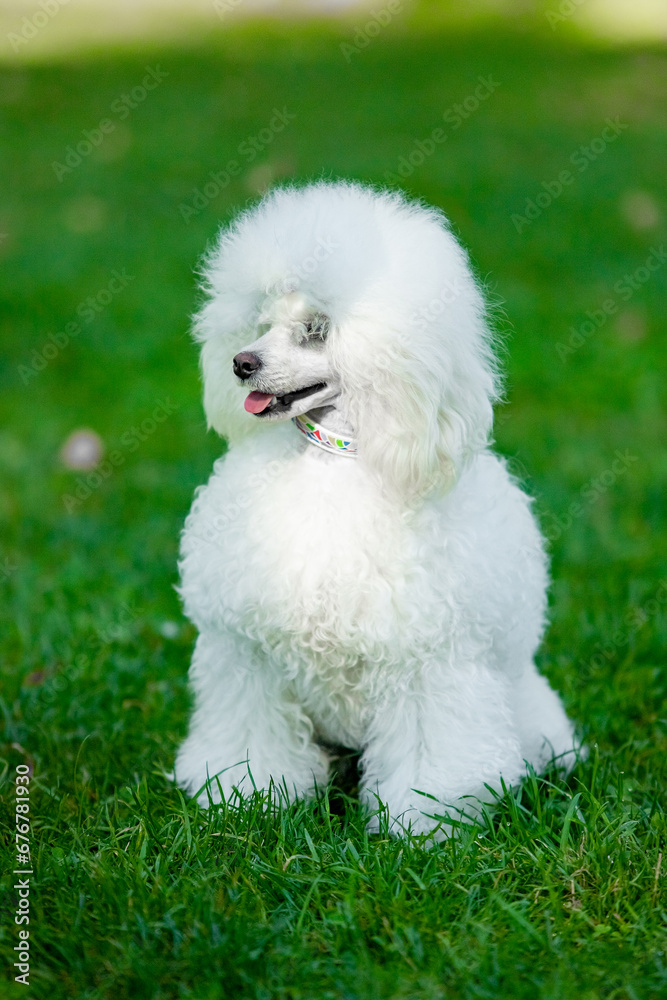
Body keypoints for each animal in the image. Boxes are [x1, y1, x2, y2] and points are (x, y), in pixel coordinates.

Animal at [174, 180, 580, 836]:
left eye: (316, 329)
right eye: (264, 323)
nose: (241, 363)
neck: (331, 463)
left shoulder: (429, 663)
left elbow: (430, 751)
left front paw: (424, 820)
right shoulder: (248, 656)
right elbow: (252, 734)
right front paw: (244, 793)